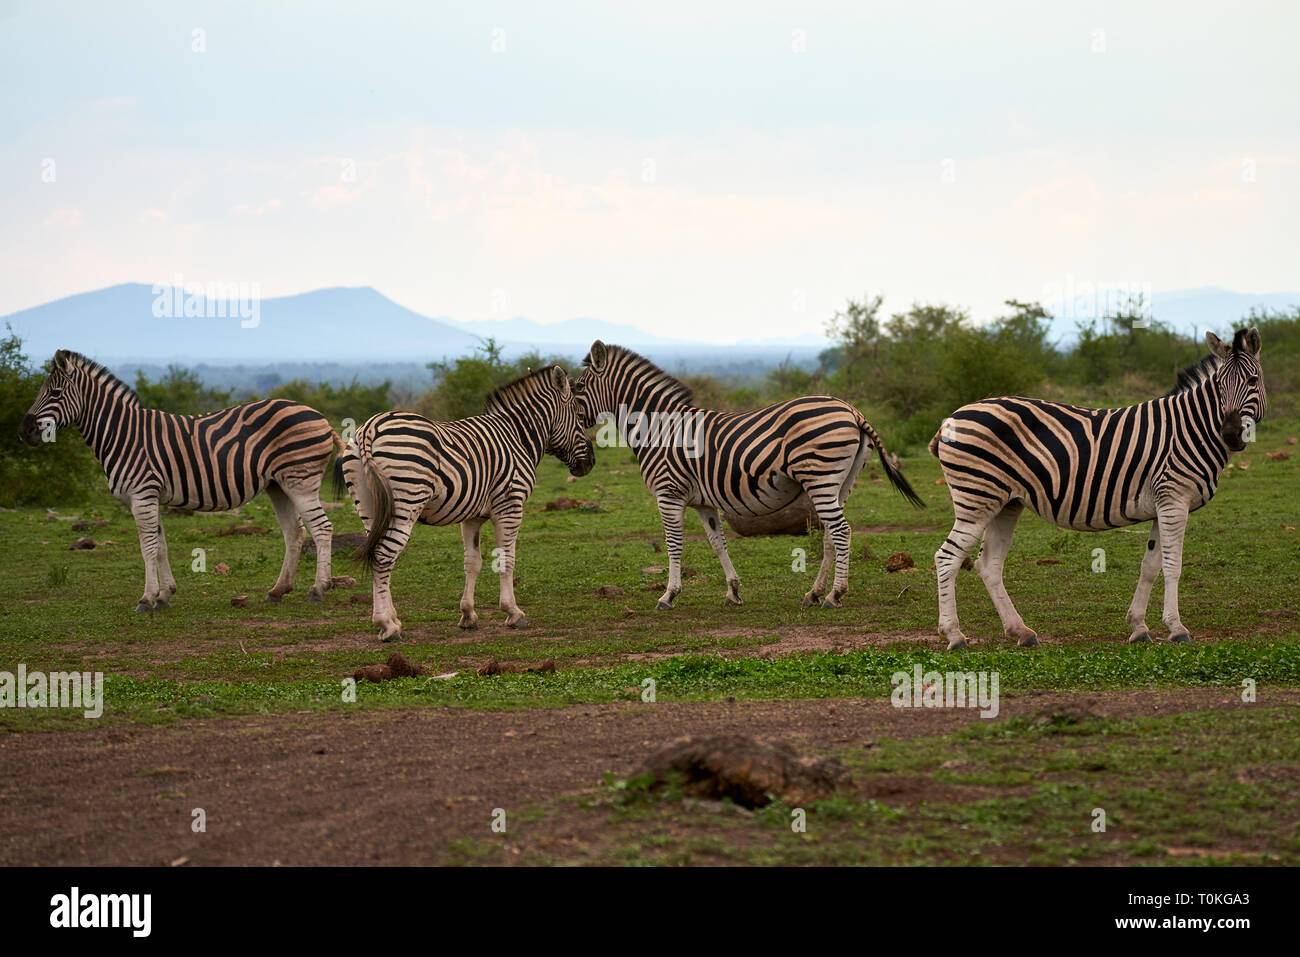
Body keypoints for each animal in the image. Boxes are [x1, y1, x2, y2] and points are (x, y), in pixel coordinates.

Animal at [19, 349, 340, 610]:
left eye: (55, 393)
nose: (24, 431)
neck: (122, 435)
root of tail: (321, 416)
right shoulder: (151, 496)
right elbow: (160, 545)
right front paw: (165, 595)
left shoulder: (142, 494)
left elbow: (147, 547)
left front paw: (146, 598)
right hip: (278, 485)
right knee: (294, 533)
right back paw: (278, 590)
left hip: (301, 481)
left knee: (322, 528)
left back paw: (318, 590)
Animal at [338, 364, 594, 642]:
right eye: (581, 416)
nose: (590, 463)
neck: (518, 437)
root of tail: (370, 427)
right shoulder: (510, 506)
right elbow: (507, 558)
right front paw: (513, 612)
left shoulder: (472, 516)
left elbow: (472, 562)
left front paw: (468, 614)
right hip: (407, 500)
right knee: (384, 555)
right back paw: (387, 625)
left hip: (370, 507)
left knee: (375, 554)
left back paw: (392, 619)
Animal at [572, 341, 923, 610]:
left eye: (577, 388)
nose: (583, 458)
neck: (659, 428)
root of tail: (852, 410)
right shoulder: (702, 501)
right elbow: (717, 542)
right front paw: (733, 591)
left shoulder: (668, 493)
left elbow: (674, 544)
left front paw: (668, 595)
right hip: (841, 482)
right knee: (830, 534)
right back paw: (814, 593)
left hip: (820, 476)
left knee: (841, 531)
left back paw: (835, 595)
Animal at [931, 328, 1266, 651]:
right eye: (1220, 385)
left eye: (1253, 380)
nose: (1230, 433)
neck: (1191, 429)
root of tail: (951, 418)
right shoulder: (1174, 501)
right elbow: (1173, 565)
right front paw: (1176, 628)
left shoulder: (1162, 505)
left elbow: (1150, 565)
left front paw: (1139, 627)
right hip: (977, 498)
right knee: (947, 557)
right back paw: (955, 636)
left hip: (1005, 503)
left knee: (988, 564)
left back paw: (1021, 632)